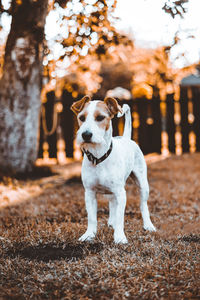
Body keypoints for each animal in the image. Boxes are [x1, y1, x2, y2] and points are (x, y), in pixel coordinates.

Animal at [70, 96, 156, 244]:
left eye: (100, 117)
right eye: (81, 118)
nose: (86, 134)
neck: (98, 157)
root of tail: (126, 138)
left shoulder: (121, 193)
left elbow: (121, 217)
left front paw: (120, 237)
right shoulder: (89, 193)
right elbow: (92, 218)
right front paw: (89, 234)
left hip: (142, 184)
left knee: (143, 205)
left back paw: (147, 225)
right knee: (112, 203)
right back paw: (111, 221)